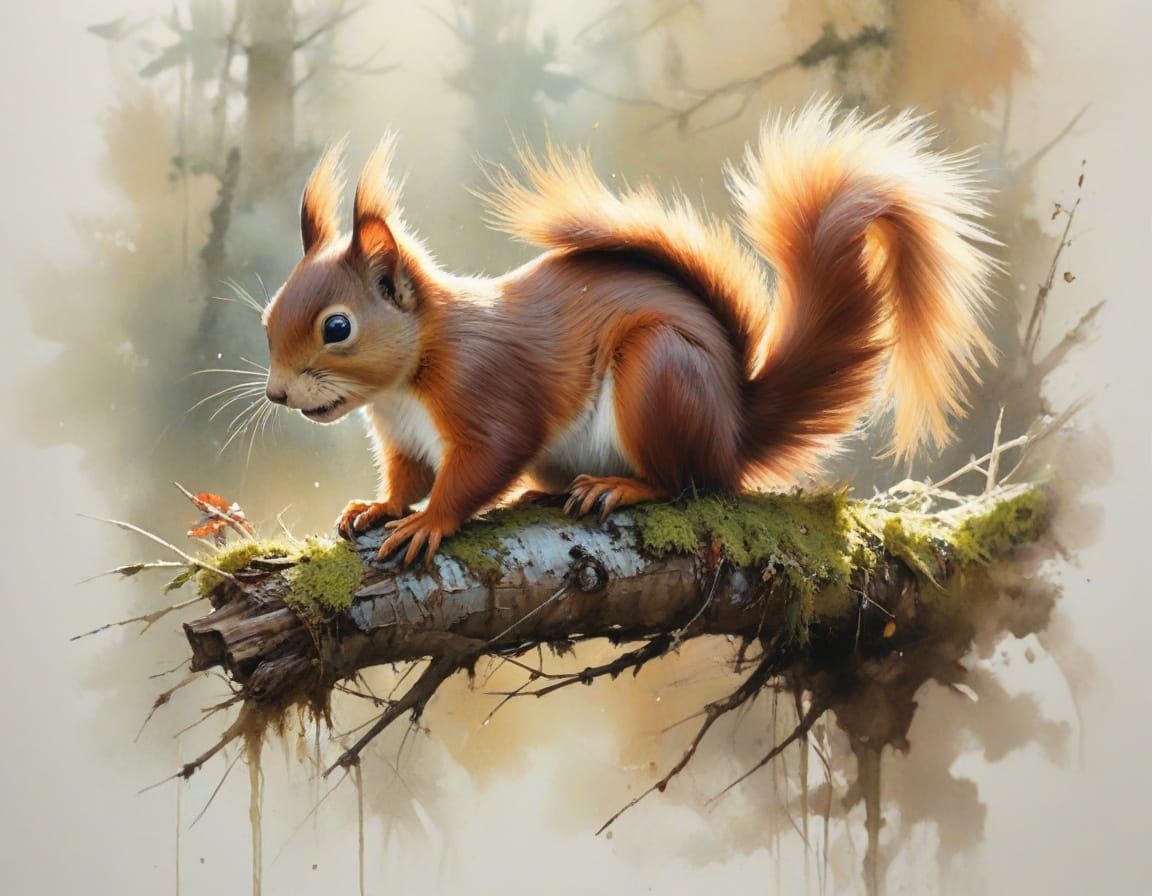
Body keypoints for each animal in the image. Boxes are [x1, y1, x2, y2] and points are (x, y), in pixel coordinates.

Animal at [261, 101, 995, 567]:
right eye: (268, 318)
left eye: (337, 327)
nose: (275, 395)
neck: (403, 386)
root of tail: (733, 432)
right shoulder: (404, 440)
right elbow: (407, 477)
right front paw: (378, 507)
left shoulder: (488, 392)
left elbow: (483, 464)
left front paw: (428, 522)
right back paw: (547, 490)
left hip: (660, 372)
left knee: (689, 481)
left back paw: (622, 487)